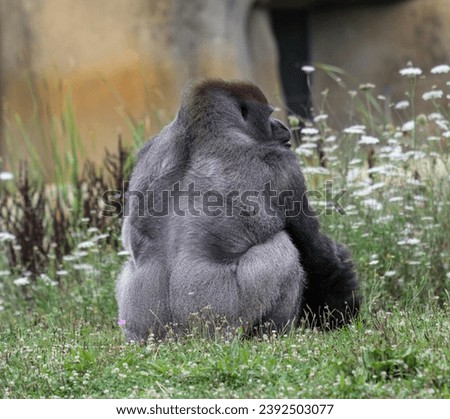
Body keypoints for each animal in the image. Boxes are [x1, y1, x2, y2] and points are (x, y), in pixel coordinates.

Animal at [116, 79, 358, 342]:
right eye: (269, 115)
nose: (282, 126)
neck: (201, 129)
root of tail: (181, 338)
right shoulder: (283, 165)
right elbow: (317, 253)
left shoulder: (148, 149)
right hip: (220, 325)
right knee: (282, 252)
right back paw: (270, 334)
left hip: (145, 329)